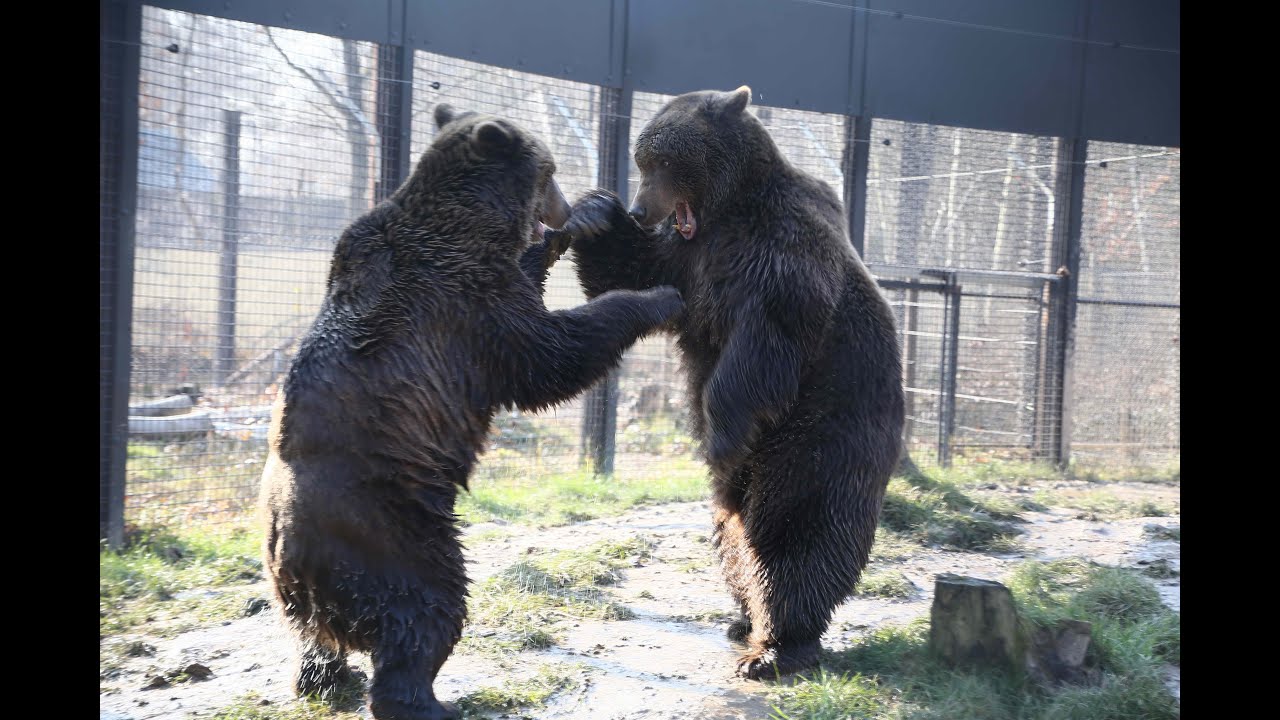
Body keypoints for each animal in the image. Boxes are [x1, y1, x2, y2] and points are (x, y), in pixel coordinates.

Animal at [259, 103, 684, 720]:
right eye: (550, 170)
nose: (561, 207)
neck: (468, 224)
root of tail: (292, 545)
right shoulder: (466, 306)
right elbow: (550, 357)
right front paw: (658, 296)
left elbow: (532, 283)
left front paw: (585, 219)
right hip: (393, 528)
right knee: (427, 609)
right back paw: (426, 699)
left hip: (294, 578)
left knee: (312, 633)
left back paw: (324, 678)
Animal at [557, 86, 905, 680]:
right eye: (641, 160)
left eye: (664, 160)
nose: (640, 208)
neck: (724, 212)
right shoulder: (686, 259)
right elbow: (632, 271)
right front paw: (594, 211)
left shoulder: (779, 261)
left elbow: (758, 350)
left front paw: (721, 439)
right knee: (729, 531)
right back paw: (742, 617)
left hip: (819, 436)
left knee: (792, 531)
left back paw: (777, 646)